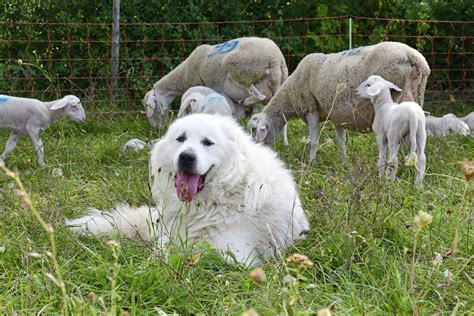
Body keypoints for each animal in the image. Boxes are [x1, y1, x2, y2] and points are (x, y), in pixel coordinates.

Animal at [67, 114, 312, 266]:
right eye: (181, 138)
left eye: (208, 142)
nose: (186, 157)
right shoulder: (168, 239)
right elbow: (160, 254)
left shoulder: (233, 254)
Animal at [143, 36, 286, 126]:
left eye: (149, 107)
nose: (155, 129)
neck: (183, 76)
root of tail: (275, 59)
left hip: (243, 72)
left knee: (258, 96)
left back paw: (246, 101)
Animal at [254, 41, 432, 163]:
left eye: (253, 129)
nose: (258, 150)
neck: (290, 95)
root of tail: (413, 57)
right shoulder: (338, 115)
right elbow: (340, 141)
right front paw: (343, 160)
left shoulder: (310, 108)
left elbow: (313, 140)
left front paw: (312, 162)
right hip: (416, 100)